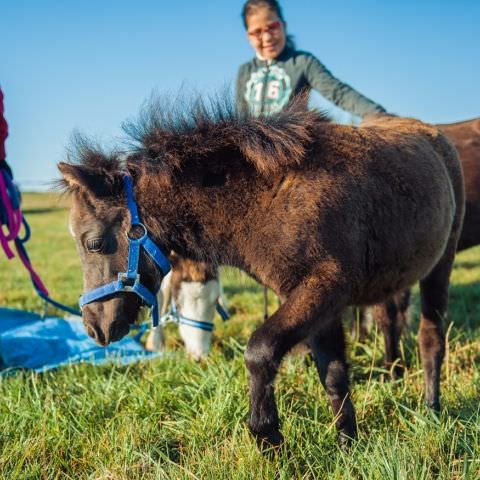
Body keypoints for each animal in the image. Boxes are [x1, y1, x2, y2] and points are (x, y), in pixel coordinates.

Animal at [58, 95, 464, 448]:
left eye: (94, 243)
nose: (94, 327)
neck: (267, 201)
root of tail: (434, 134)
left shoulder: (325, 289)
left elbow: (260, 350)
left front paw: (267, 433)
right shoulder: (316, 301)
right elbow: (333, 374)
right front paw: (348, 445)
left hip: (440, 267)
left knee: (430, 338)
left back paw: (431, 409)